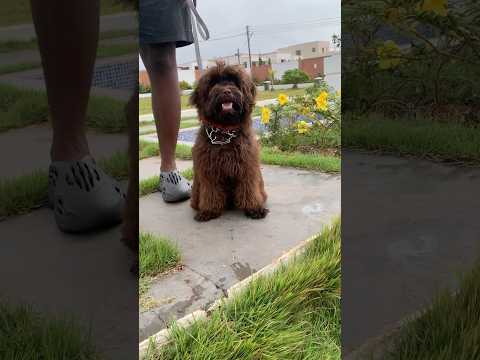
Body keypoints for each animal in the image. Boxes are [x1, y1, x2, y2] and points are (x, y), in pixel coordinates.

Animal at [189, 64, 268, 222]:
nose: (226, 91)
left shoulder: (247, 166)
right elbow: (211, 192)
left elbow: (249, 188)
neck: (224, 132)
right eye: (213, 83)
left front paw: (254, 208)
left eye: (234, 82)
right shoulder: (209, 170)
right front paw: (208, 211)